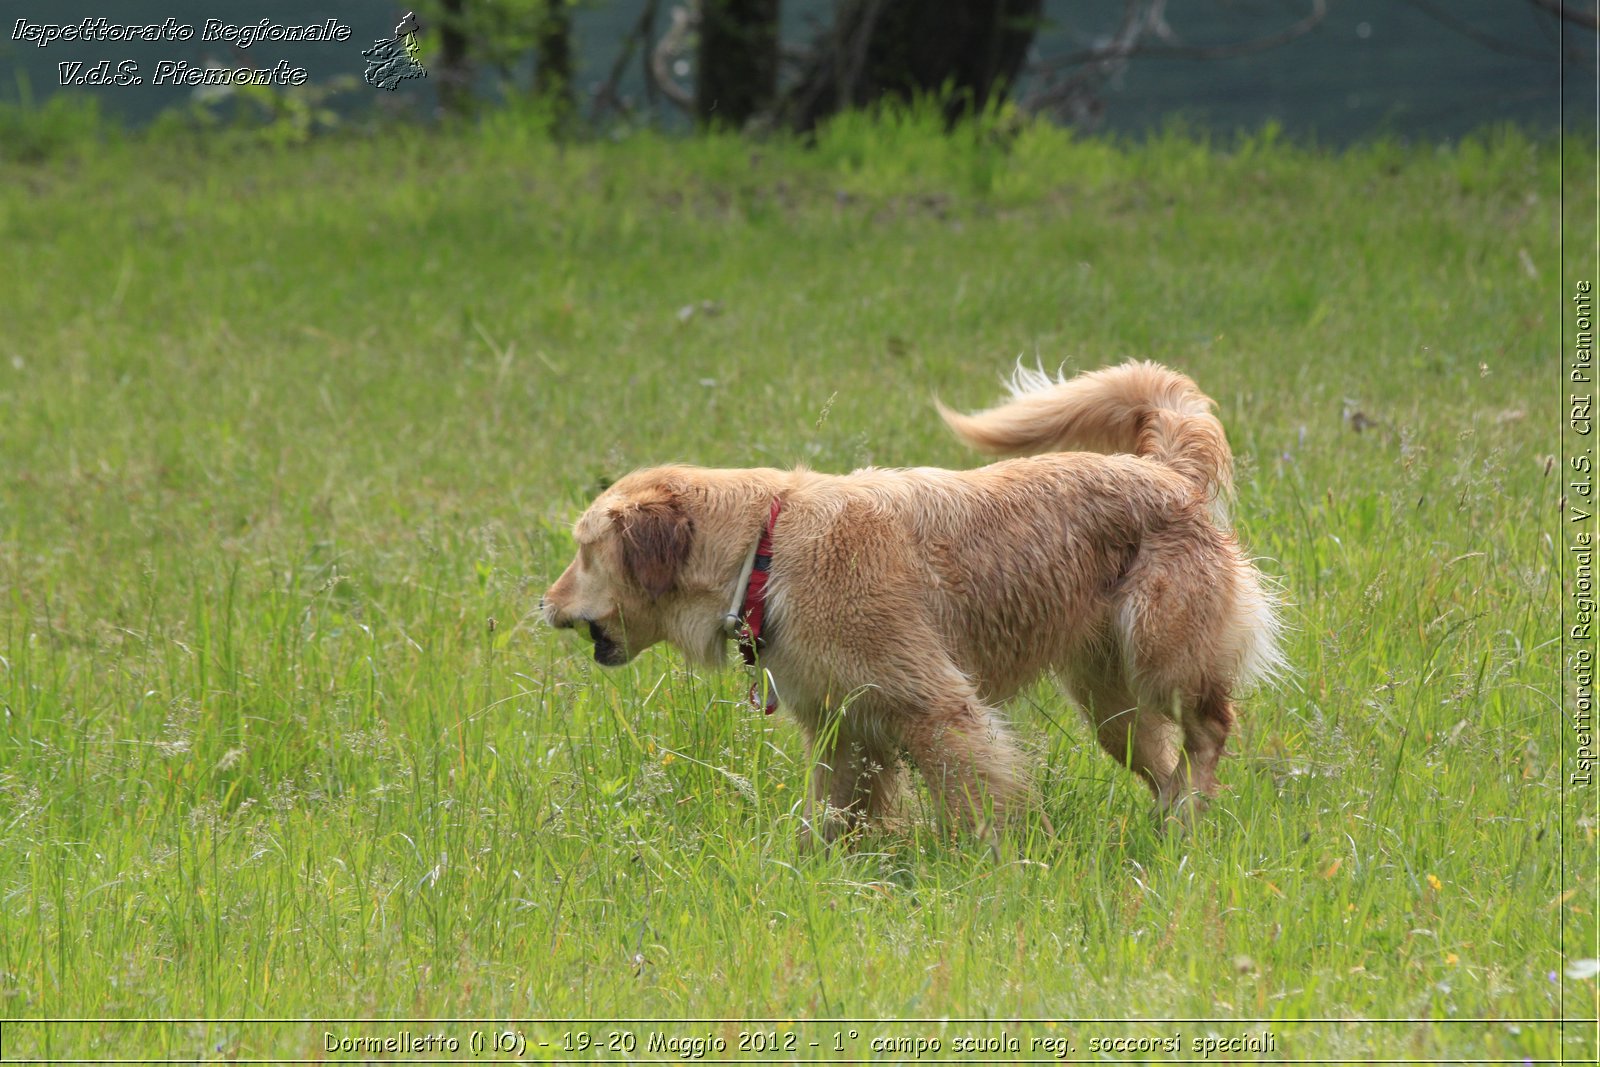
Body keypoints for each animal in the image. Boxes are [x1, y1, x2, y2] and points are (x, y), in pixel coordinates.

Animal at [544, 363, 1280, 838]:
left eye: (583, 550)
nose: (543, 605)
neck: (766, 550)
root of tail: (1165, 472)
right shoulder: (844, 730)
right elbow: (829, 820)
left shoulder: (937, 706)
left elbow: (977, 801)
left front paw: (995, 866)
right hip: (1112, 706)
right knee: (1165, 765)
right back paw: (1167, 829)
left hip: (1163, 658)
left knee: (1212, 729)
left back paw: (1192, 822)